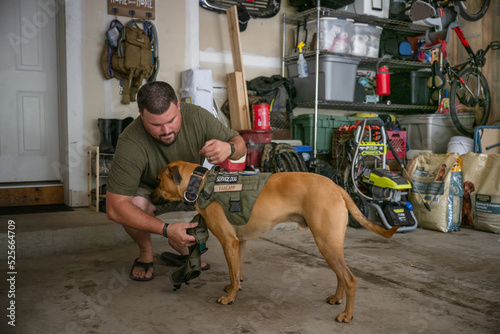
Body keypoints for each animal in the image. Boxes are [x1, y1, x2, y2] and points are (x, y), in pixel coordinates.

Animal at [152, 160, 398, 322]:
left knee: (350, 279)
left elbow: (232, 272)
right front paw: (234, 287)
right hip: (331, 245)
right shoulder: (239, 243)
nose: (150, 197)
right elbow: (236, 272)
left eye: (158, 180)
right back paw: (337, 299)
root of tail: (337, 187)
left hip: (326, 244)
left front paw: (230, 297)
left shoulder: (228, 242)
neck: (201, 184)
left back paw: (347, 314)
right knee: (341, 276)